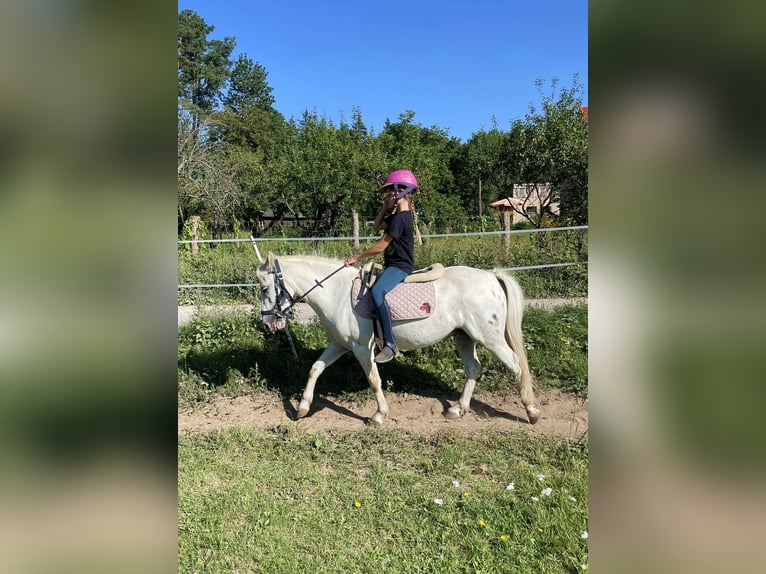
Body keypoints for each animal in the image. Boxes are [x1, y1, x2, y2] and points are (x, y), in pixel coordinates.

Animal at [255, 253, 544, 428]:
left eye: (265, 288)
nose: (269, 323)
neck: (336, 293)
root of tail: (491, 277)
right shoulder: (339, 345)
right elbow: (315, 369)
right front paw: (302, 408)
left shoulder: (362, 349)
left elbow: (373, 380)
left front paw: (379, 415)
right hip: (464, 337)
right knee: (474, 368)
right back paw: (458, 409)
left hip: (490, 338)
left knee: (517, 366)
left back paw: (531, 412)